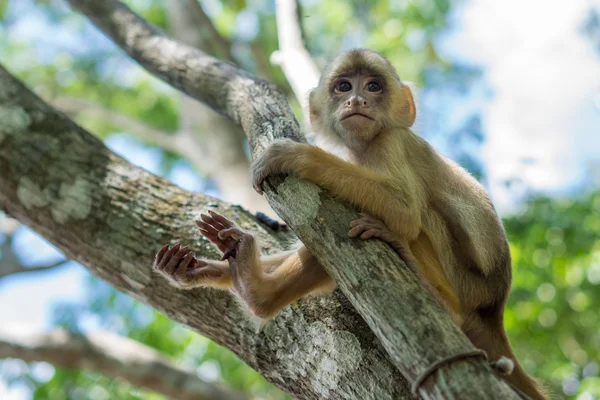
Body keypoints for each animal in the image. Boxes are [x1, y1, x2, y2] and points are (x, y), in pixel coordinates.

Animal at [155, 48, 548, 398]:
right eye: (344, 87)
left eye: (373, 86)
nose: (357, 100)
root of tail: (494, 309)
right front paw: (207, 269)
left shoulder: (392, 140)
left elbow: (406, 211)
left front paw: (298, 155)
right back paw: (254, 289)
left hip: (466, 285)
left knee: (418, 218)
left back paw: (437, 293)